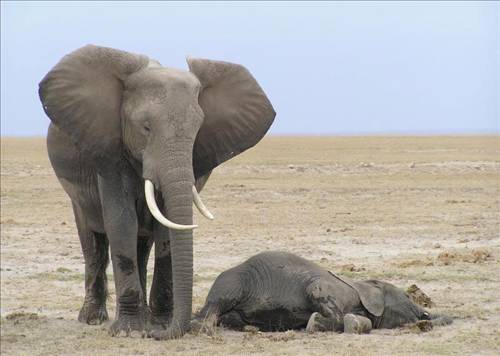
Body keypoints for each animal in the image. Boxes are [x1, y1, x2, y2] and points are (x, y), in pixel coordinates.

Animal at [39, 45, 276, 340]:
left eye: (197, 130)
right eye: (146, 128)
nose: (158, 333)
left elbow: (167, 230)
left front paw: (160, 326)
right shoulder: (110, 149)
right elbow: (121, 221)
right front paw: (129, 332)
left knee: (142, 246)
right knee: (93, 242)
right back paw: (92, 319)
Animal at [193, 250, 452, 334]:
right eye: (408, 296)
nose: (426, 318)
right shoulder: (328, 287)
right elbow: (316, 292)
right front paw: (314, 323)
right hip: (235, 280)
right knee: (215, 305)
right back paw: (204, 328)